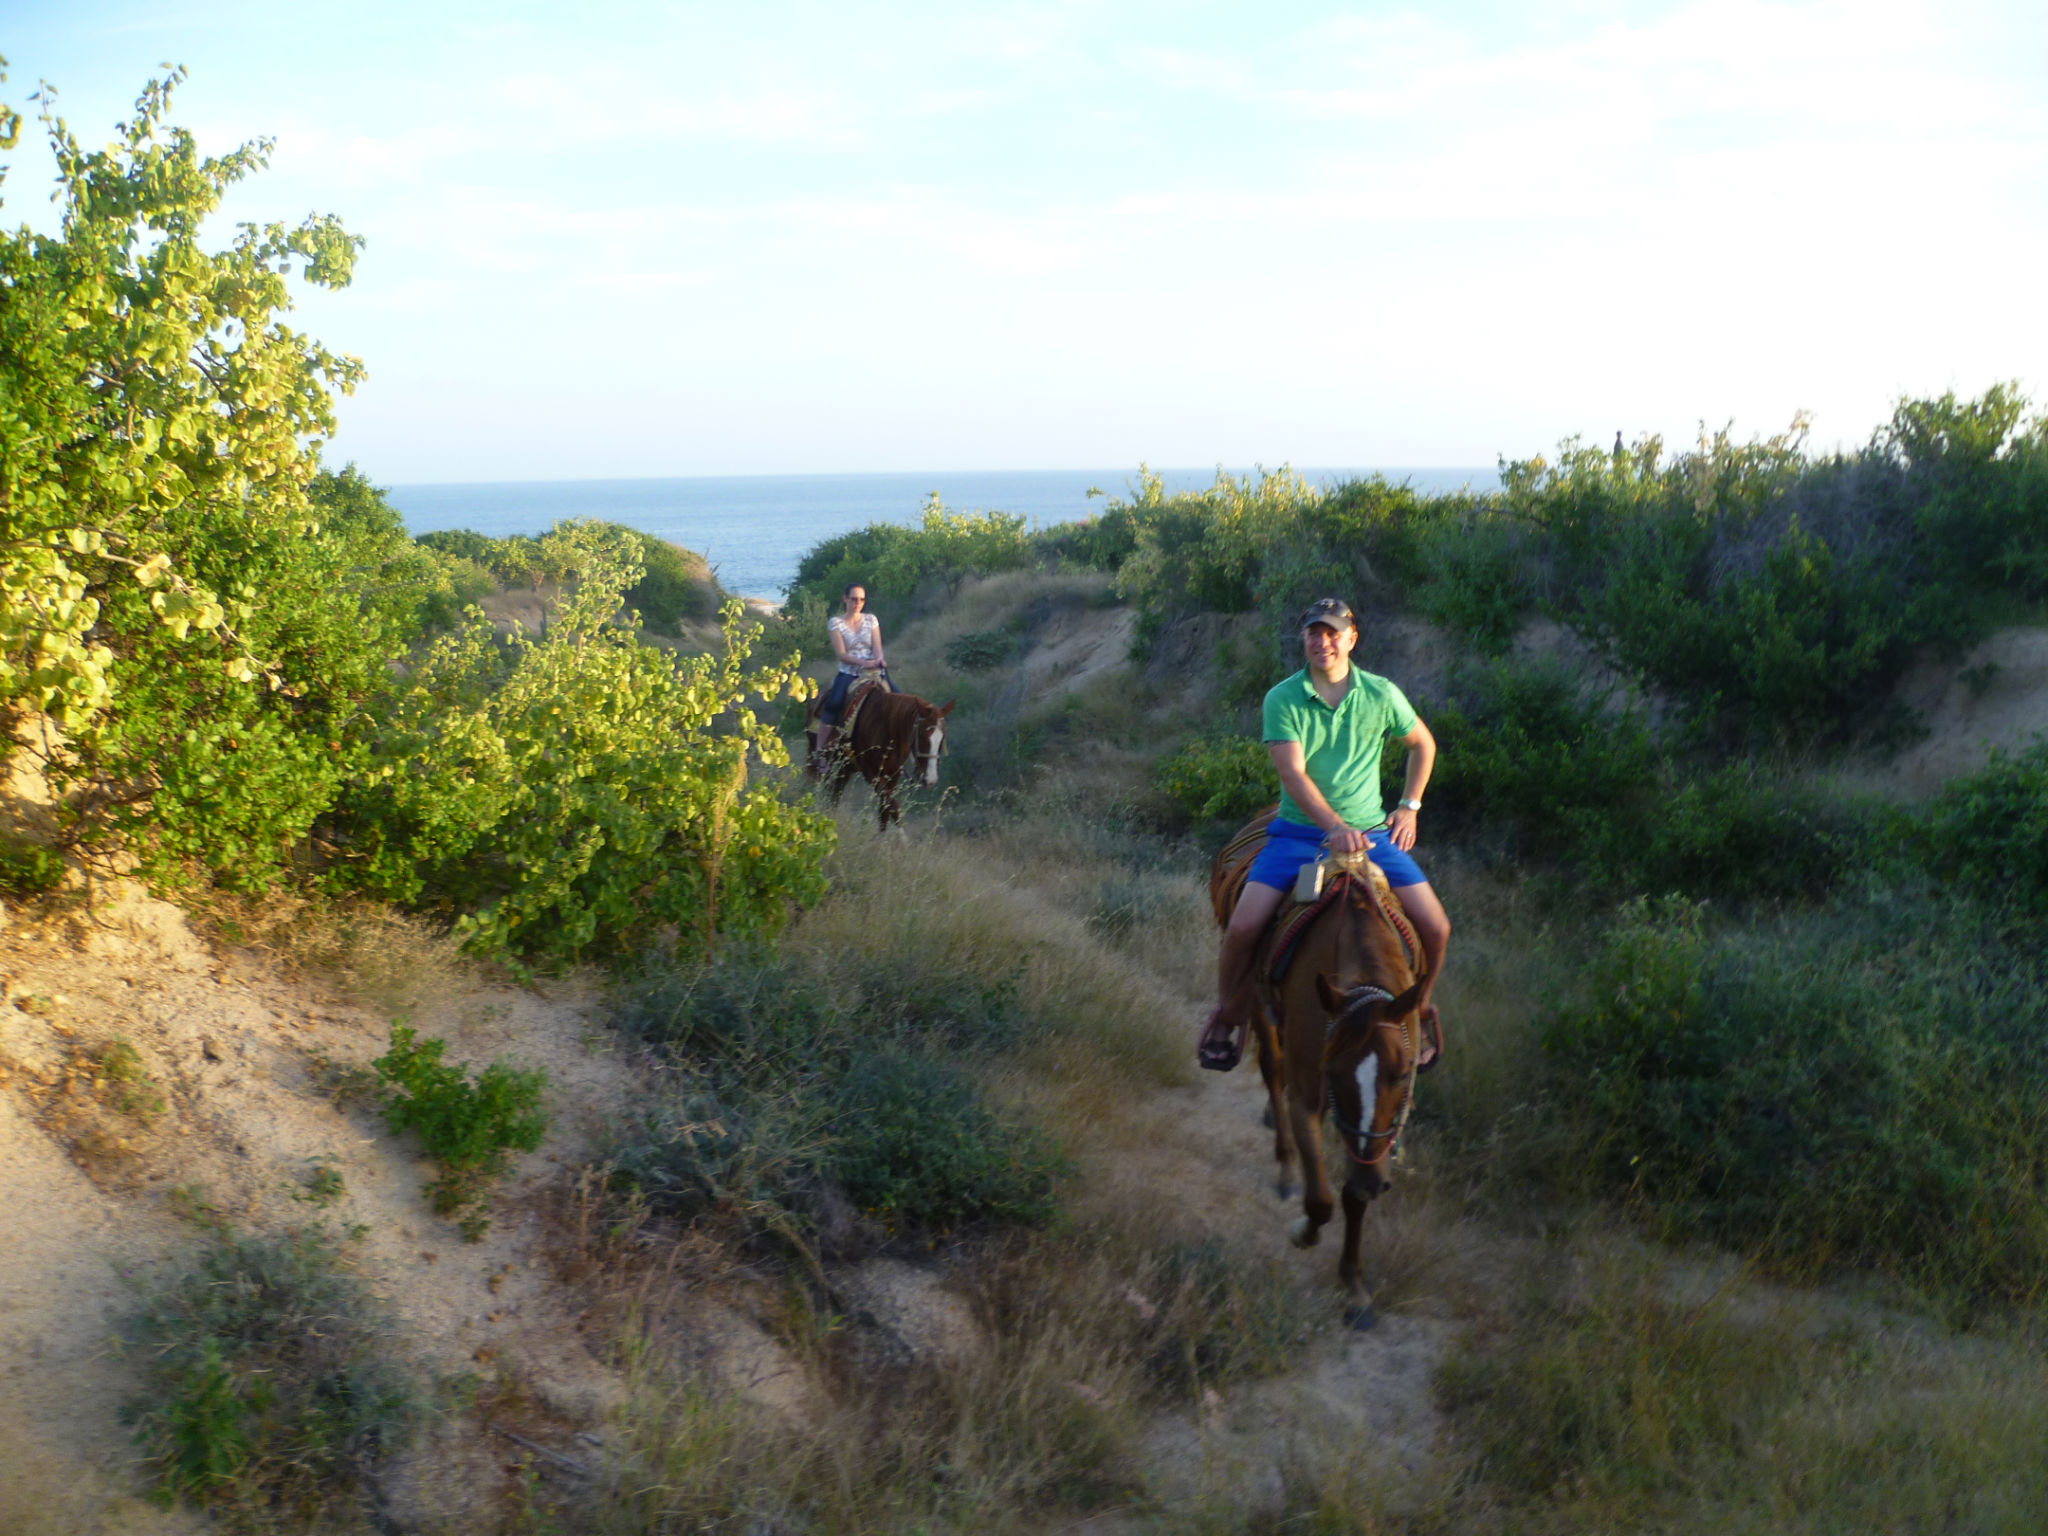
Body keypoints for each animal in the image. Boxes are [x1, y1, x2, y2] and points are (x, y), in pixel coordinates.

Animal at [806, 680, 953, 830]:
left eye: (942, 738)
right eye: (922, 736)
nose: (930, 779)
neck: (887, 728)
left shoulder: (893, 775)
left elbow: (884, 812)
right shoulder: (871, 773)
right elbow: (892, 805)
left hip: (845, 767)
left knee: (835, 792)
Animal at [1211, 808, 1426, 1328]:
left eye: (1404, 1073)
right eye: (1335, 1074)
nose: (1375, 1183)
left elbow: (1350, 1195)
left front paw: (1354, 1286)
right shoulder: (1310, 1094)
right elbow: (1322, 1200)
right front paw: (1303, 1230)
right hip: (1254, 999)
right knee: (1272, 1071)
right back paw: (1286, 1166)